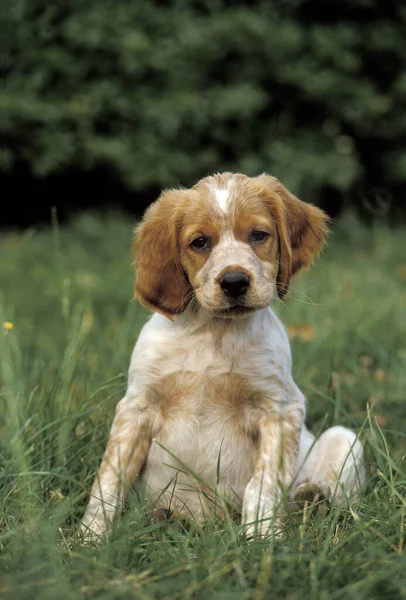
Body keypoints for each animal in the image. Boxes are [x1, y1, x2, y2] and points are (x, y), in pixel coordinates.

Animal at [81, 172, 366, 540]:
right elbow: (108, 480)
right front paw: (89, 539)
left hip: (345, 438)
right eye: (200, 242)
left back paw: (311, 496)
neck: (213, 333)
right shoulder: (136, 408)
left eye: (258, 235)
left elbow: (262, 485)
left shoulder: (279, 410)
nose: (234, 281)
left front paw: (261, 539)